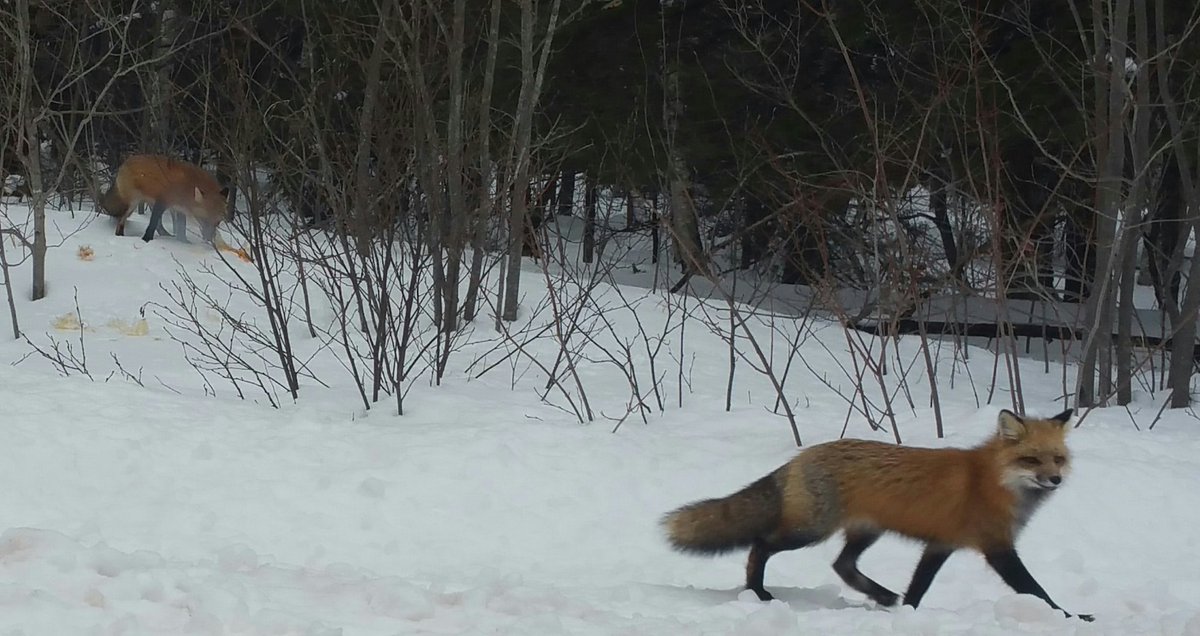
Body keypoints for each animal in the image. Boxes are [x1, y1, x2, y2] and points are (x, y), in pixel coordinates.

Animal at [99, 154, 230, 245]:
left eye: (218, 222)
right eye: (204, 219)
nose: (209, 238)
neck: (187, 185)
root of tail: (124, 162)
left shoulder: (180, 208)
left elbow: (181, 227)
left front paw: (184, 242)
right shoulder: (162, 201)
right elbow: (151, 224)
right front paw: (146, 240)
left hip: (147, 203)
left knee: (159, 227)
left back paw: (166, 235)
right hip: (132, 204)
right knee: (121, 220)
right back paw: (120, 236)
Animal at [663, 408, 1093, 621]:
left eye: (1057, 458)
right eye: (1032, 459)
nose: (1055, 479)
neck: (992, 480)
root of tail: (800, 457)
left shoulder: (941, 543)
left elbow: (919, 587)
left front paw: (907, 614)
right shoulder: (996, 548)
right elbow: (1035, 590)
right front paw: (1070, 617)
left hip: (866, 532)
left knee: (841, 564)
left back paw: (883, 595)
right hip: (809, 531)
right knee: (760, 545)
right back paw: (757, 591)